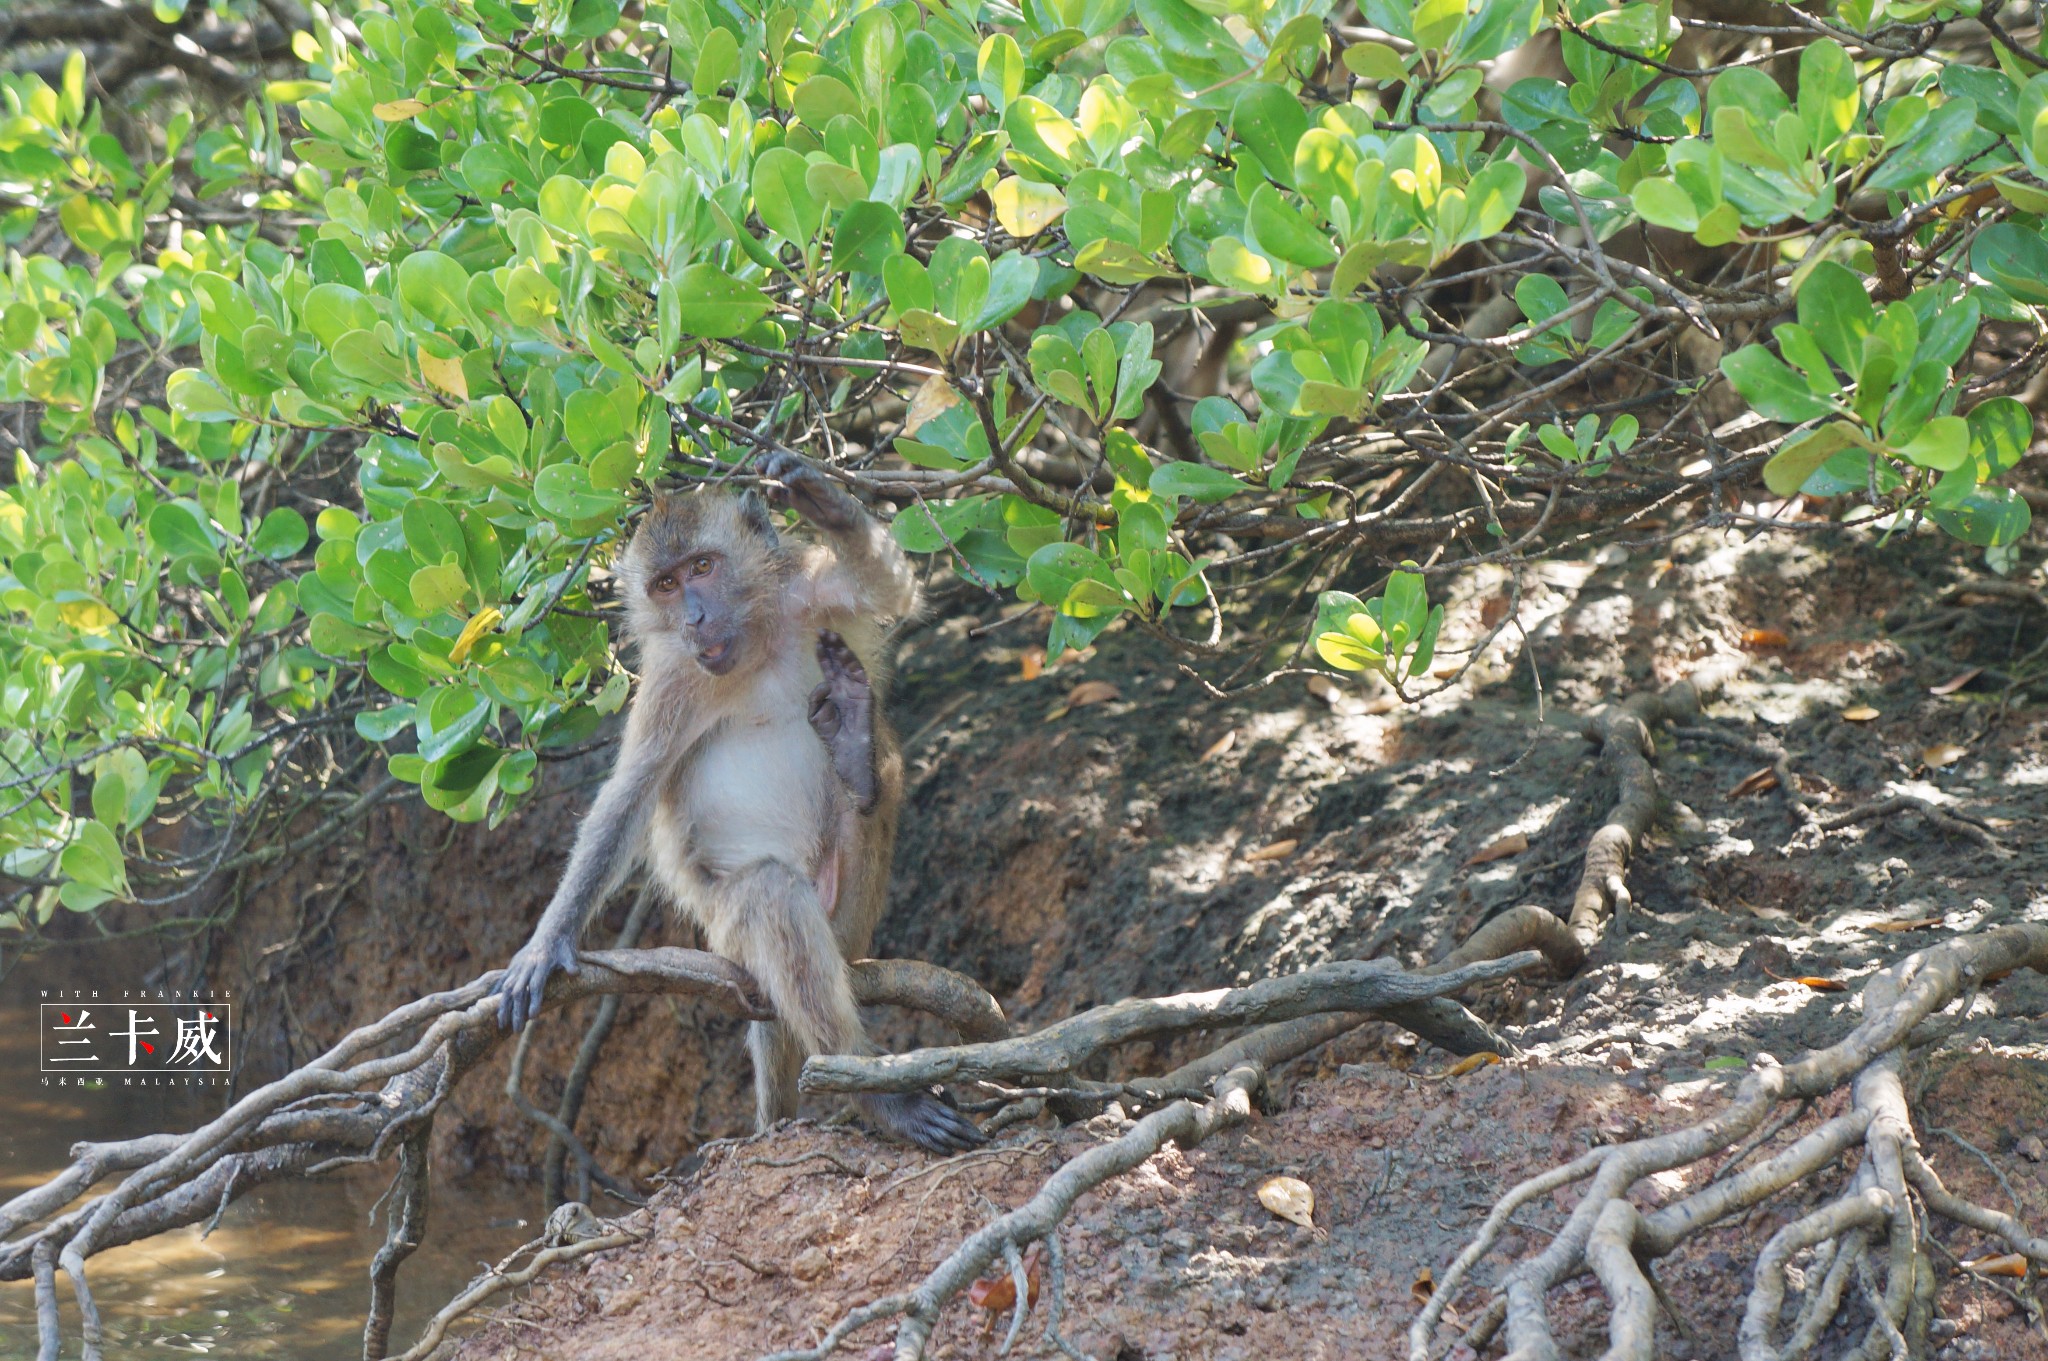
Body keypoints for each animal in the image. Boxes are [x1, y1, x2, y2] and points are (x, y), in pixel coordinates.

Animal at [491, 454, 978, 1146]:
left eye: (703, 567)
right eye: (665, 585)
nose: (694, 617)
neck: (754, 646)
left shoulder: (804, 589)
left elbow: (892, 593)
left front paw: (821, 500)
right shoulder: (674, 678)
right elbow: (630, 795)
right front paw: (549, 941)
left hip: (850, 918)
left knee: (878, 782)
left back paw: (857, 751)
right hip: (729, 935)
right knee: (772, 899)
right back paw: (880, 1096)